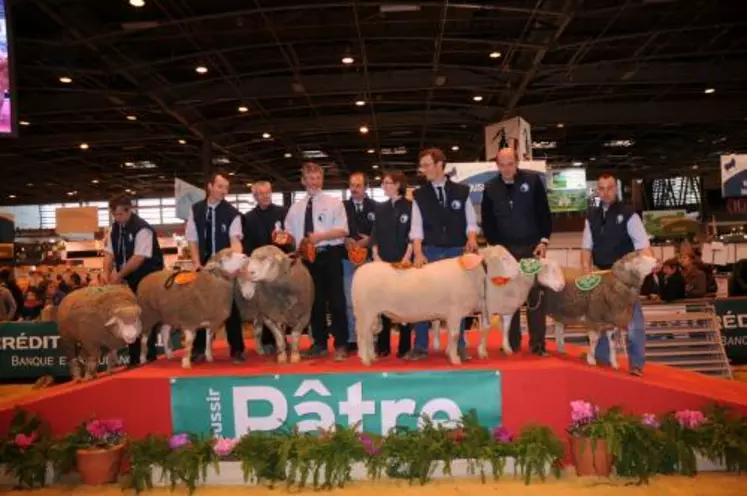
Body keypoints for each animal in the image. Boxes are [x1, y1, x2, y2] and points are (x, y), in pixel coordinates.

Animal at [356, 252, 494, 364]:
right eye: (489, 262)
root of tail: (360, 271)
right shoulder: (455, 311)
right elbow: (454, 334)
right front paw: (455, 360)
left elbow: (453, 333)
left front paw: (450, 354)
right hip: (365, 312)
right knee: (362, 335)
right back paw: (365, 360)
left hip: (372, 314)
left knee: (369, 335)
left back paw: (371, 357)